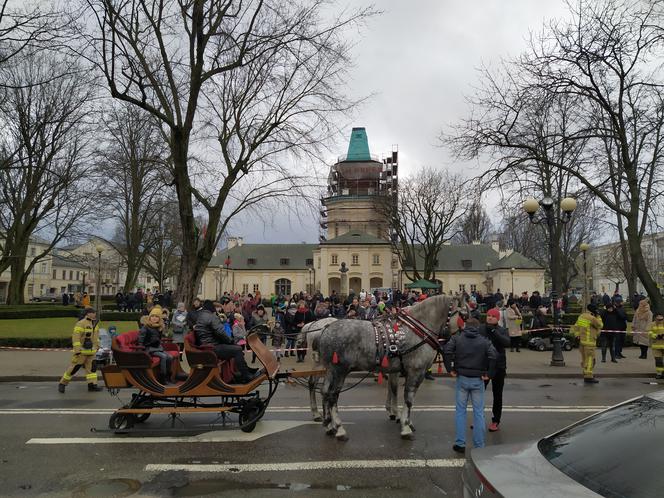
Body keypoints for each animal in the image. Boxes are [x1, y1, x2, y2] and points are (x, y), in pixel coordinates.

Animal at [316, 296, 462, 440]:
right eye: (463, 314)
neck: (417, 330)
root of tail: (326, 329)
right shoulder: (416, 371)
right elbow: (408, 398)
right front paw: (405, 427)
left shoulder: (402, 371)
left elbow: (398, 392)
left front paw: (404, 420)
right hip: (340, 370)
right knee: (333, 395)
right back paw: (339, 428)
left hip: (330, 370)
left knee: (325, 392)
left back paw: (329, 425)